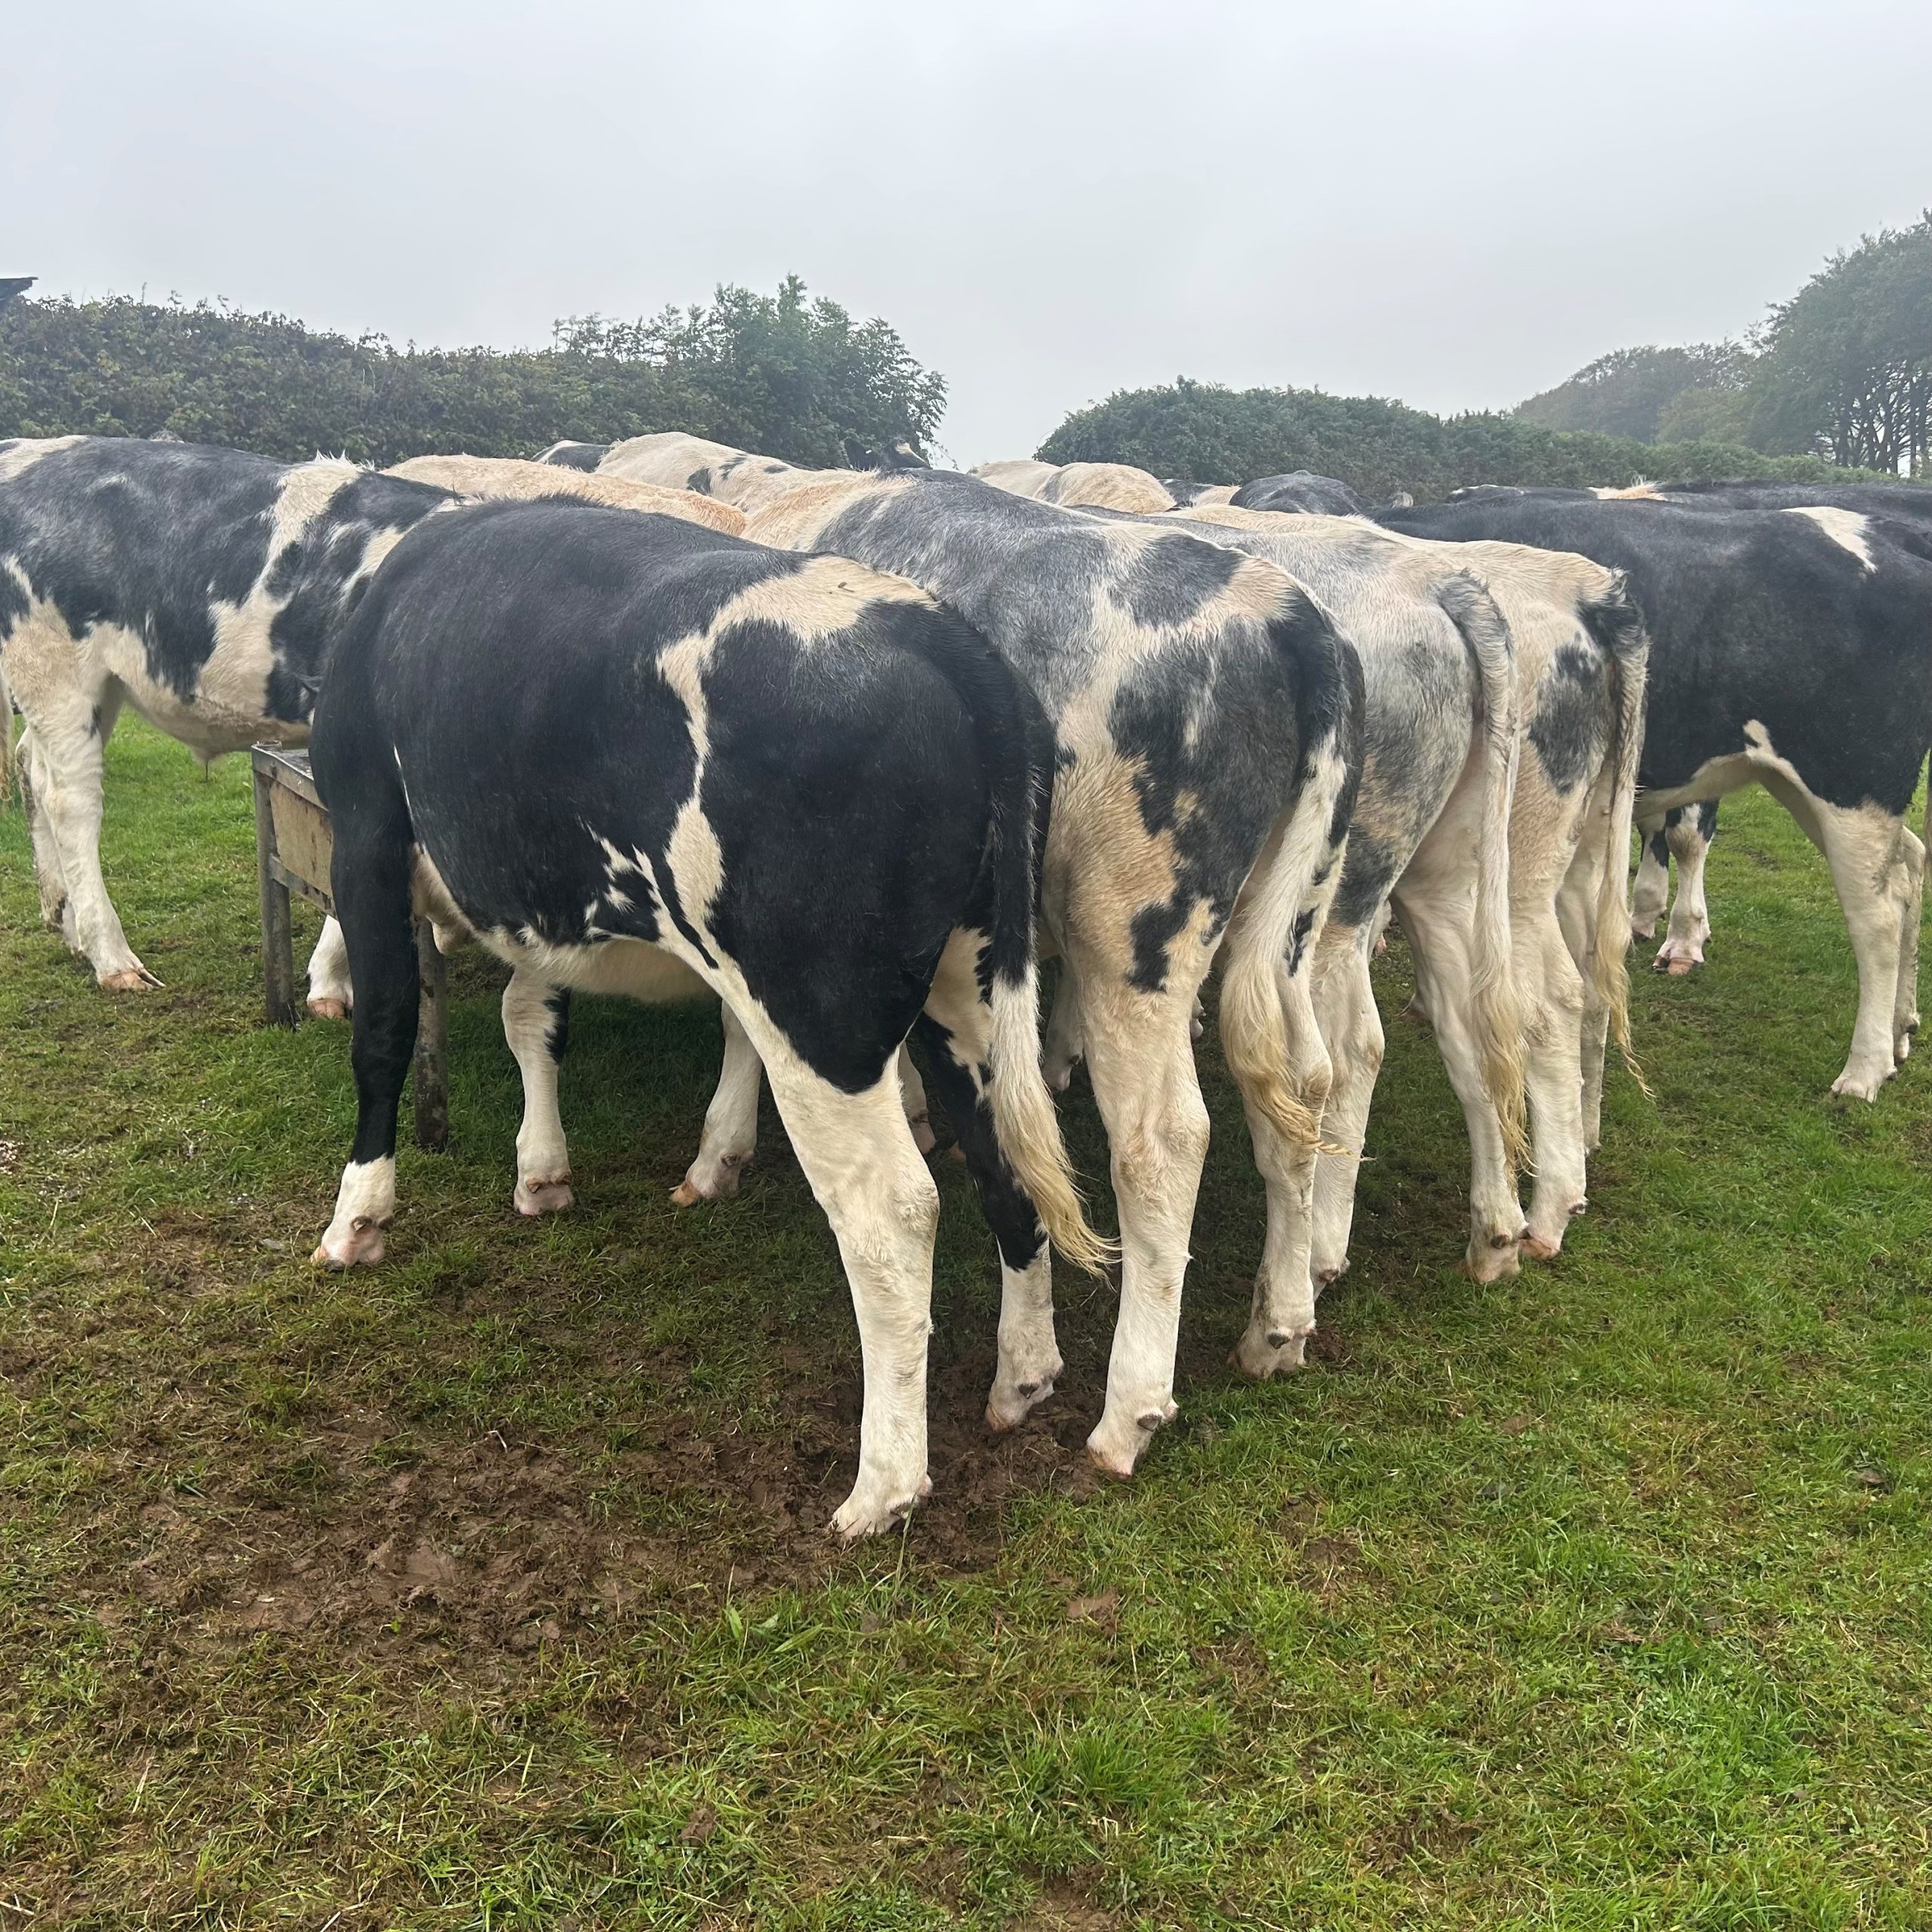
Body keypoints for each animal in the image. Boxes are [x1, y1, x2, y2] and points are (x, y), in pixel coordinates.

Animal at [0, 436, 452, 993]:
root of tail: (29, 445)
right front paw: (331, 981)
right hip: (53, 664)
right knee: (71, 800)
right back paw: (115, 962)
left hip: (100, 684)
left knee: (32, 768)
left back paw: (66, 924)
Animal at [307, 497, 1107, 1538]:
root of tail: (941, 634)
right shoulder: (543, 903)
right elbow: (530, 1014)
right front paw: (542, 1169)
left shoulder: (366, 829)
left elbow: (385, 1033)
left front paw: (359, 1215)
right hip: (965, 984)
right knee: (1005, 1153)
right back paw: (1024, 1376)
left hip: (821, 1011)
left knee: (894, 1211)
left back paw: (883, 1486)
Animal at [1382, 495, 1932, 1101]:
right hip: (1811, 785)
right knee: (1908, 867)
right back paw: (1901, 1027)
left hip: (1853, 776)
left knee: (1877, 916)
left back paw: (1864, 1069)